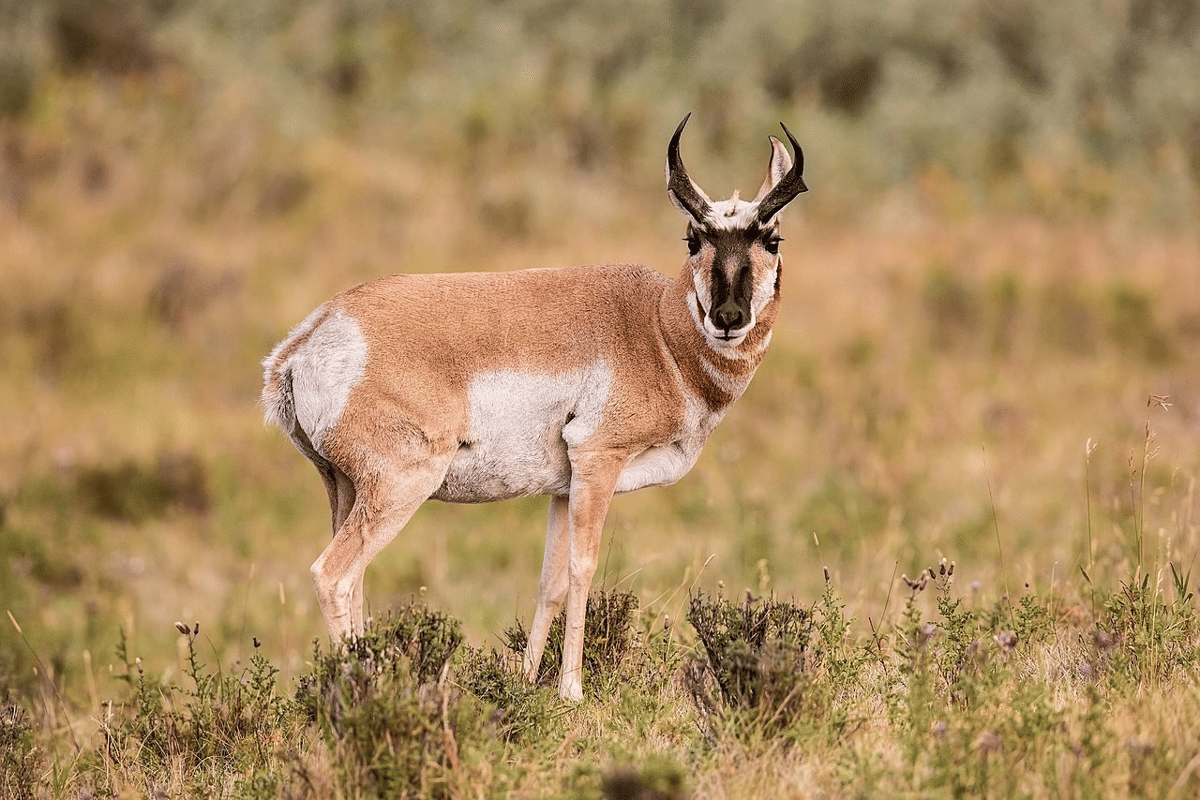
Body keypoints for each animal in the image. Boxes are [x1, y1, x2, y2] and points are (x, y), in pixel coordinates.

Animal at [261, 114, 807, 701]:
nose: (728, 318)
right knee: (334, 575)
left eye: (771, 237)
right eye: (694, 238)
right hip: (401, 486)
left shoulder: (562, 489)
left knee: (356, 579)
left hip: (343, 489)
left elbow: (550, 581)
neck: (657, 330)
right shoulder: (598, 463)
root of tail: (312, 336)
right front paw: (572, 690)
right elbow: (583, 569)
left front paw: (524, 682)